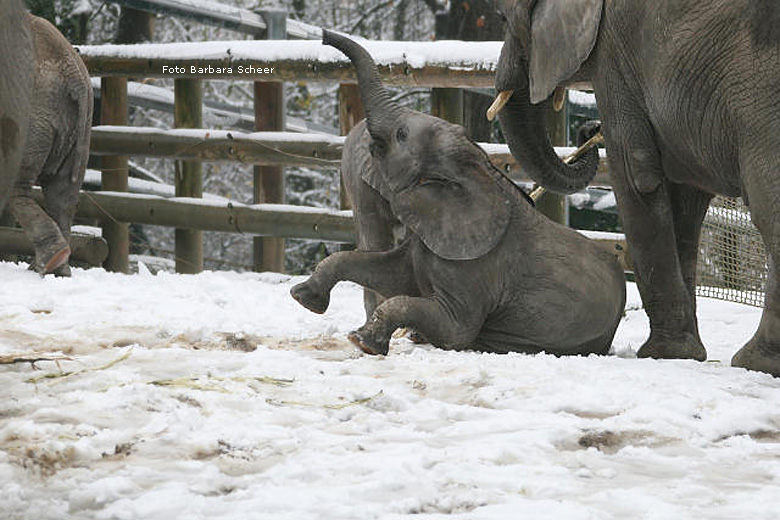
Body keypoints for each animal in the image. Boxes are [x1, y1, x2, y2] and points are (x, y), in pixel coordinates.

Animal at [290, 31, 624, 358]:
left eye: (401, 135)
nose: (323, 37)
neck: (475, 168)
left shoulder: (477, 269)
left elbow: (449, 326)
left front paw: (363, 342)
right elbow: (384, 271)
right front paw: (304, 298)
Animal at [490, 0, 780, 374]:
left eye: (501, 17)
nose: (589, 128)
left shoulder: (615, 56)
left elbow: (636, 177)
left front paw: (665, 353)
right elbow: (683, 203)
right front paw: (686, 353)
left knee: (769, 208)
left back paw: (754, 360)